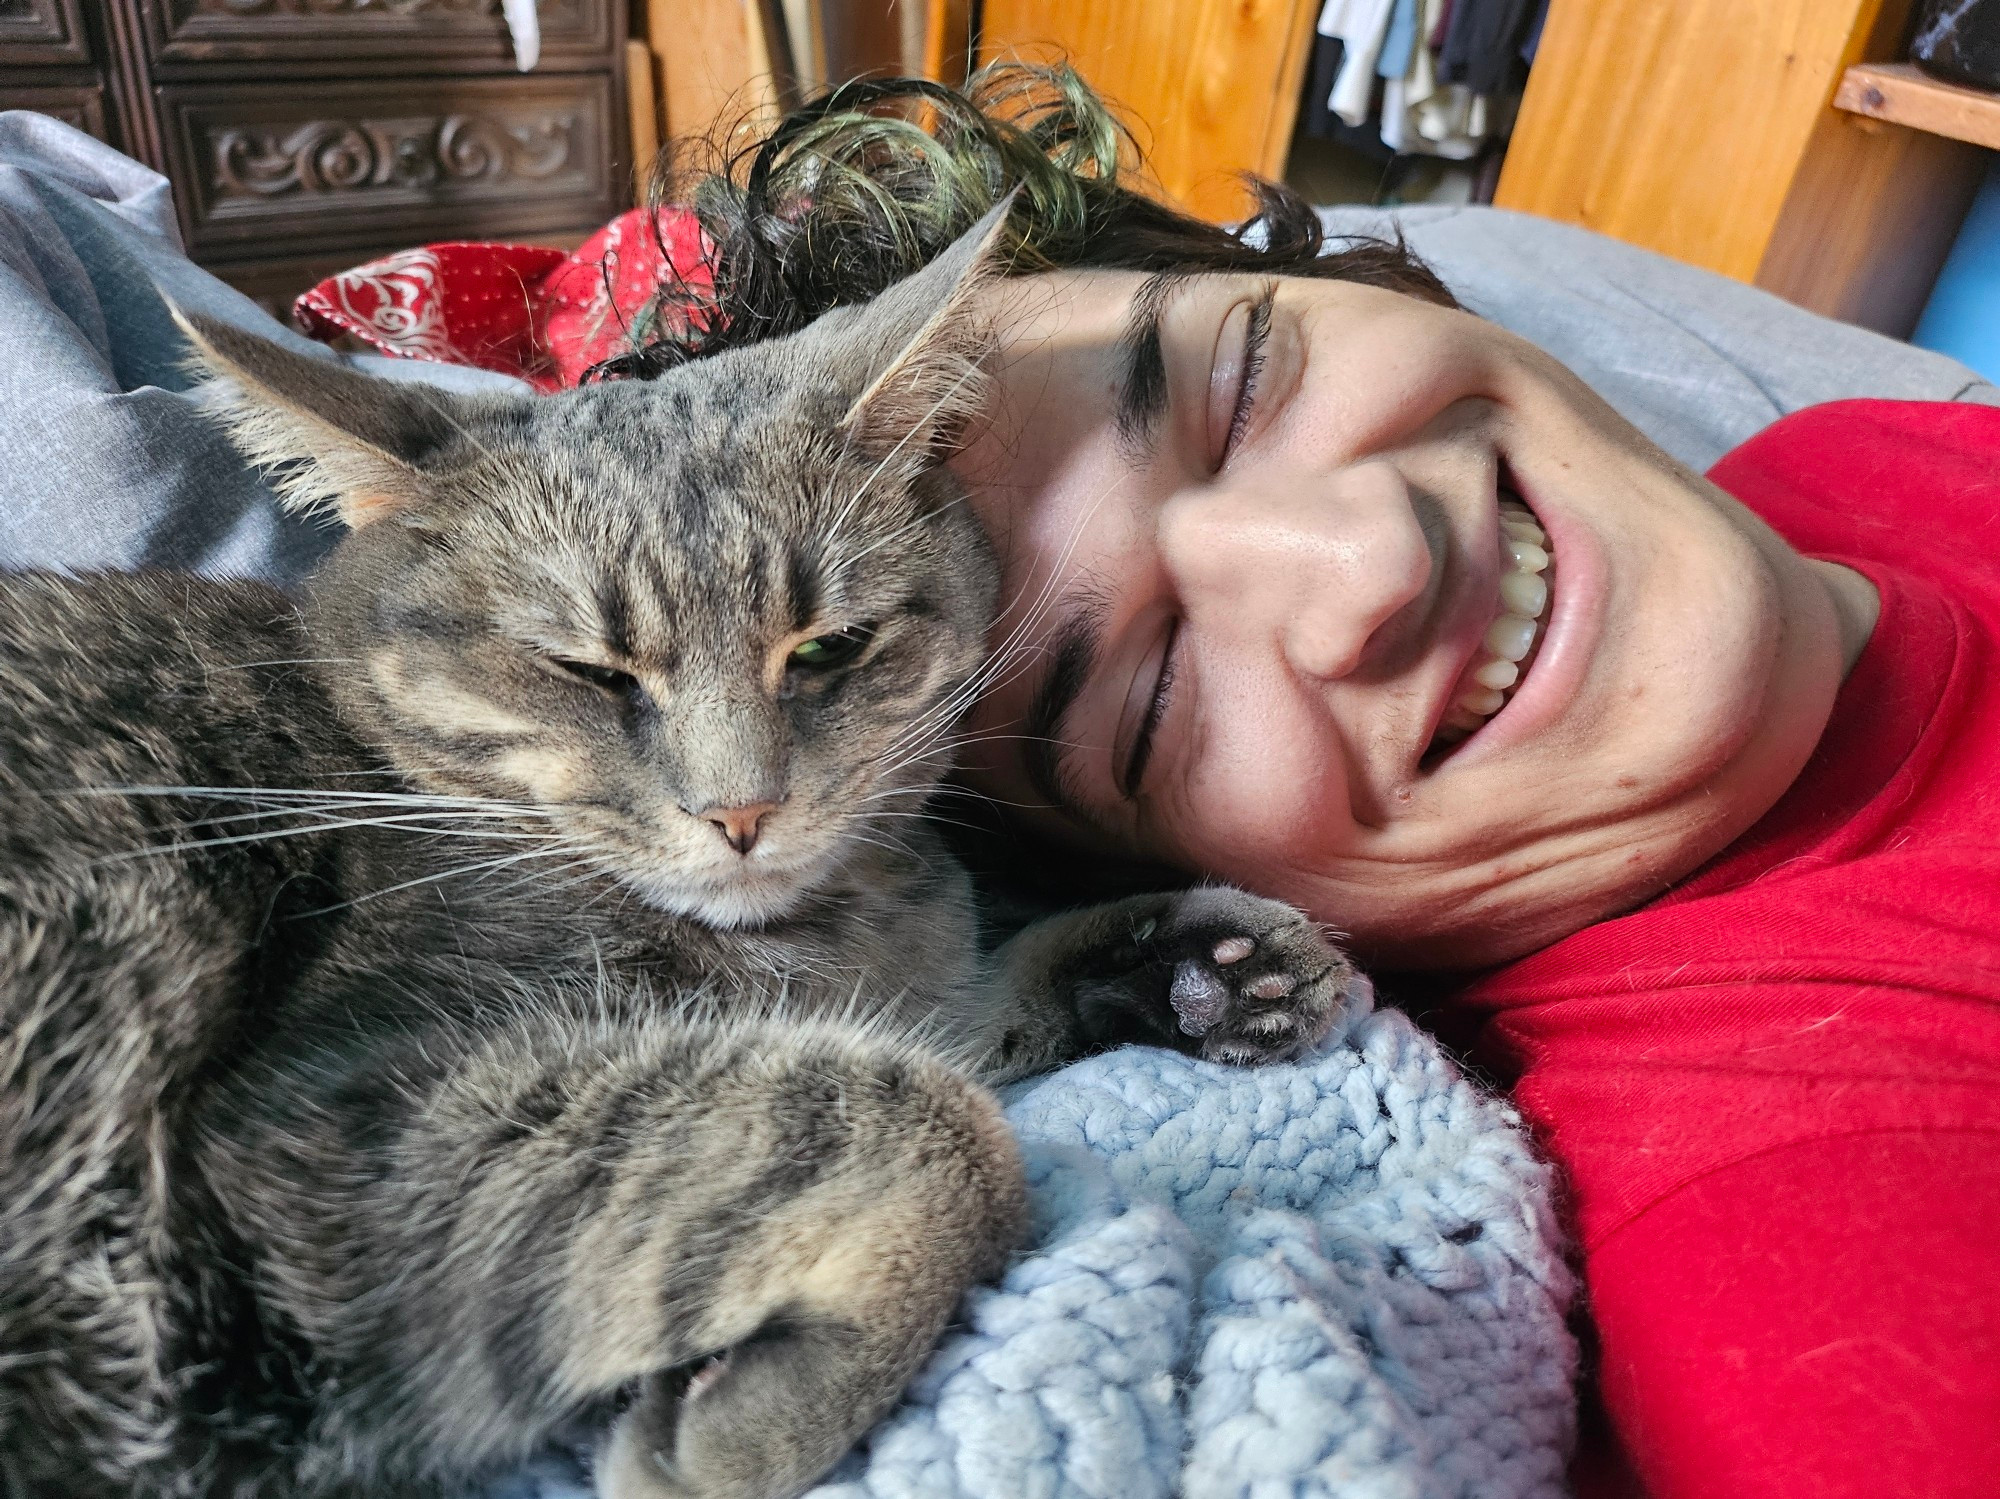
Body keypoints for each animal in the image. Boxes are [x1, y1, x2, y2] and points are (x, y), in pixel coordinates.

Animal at [0, 202, 1360, 1499]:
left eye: (829, 646)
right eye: (588, 672)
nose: (741, 810)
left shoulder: (902, 978)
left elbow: (972, 1008)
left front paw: (1200, 958)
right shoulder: (351, 1113)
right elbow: (931, 1116)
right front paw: (759, 1412)